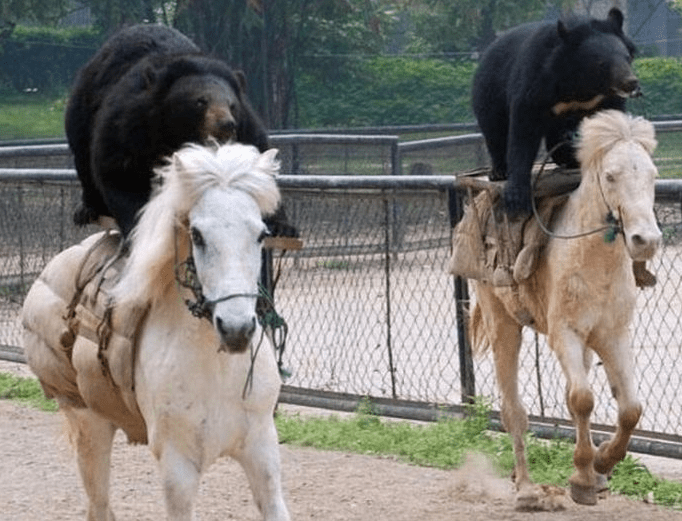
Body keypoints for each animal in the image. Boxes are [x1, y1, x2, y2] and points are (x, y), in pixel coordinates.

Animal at [21, 142, 291, 521]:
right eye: (197, 235)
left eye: (261, 234)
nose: (236, 329)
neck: (216, 370)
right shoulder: (178, 469)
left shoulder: (262, 452)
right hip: (90, 426)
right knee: (99, 506)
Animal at [66, 24, 270, 238]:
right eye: (201, 101)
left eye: (232, 105)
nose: (226, 125)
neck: (174, 132)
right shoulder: (128, 125)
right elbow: (122, 174)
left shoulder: (246, 125)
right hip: (81, 113)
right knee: (83, 157)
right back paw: (87, 210)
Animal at [468, 110, 661, 510]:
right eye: (611, 175)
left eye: (652, 175)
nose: (646, 240)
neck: (592, 260)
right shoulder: (564, 334)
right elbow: (583, 399)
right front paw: (585, 476)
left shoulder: (612, 335)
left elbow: (630, 408)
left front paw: (601, 466)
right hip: (502, 323)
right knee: (513, 411)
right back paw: (527, 489)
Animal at [471, 7, 640, 216]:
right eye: (602, 63)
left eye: (627, 57)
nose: (630, 82)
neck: (581, 85)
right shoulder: (536, 82)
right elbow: (523, 132)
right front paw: (517, 196)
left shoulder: (606, 98)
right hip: (489, 91)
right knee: (494, 130)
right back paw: (498, 171)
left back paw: (571, 159)